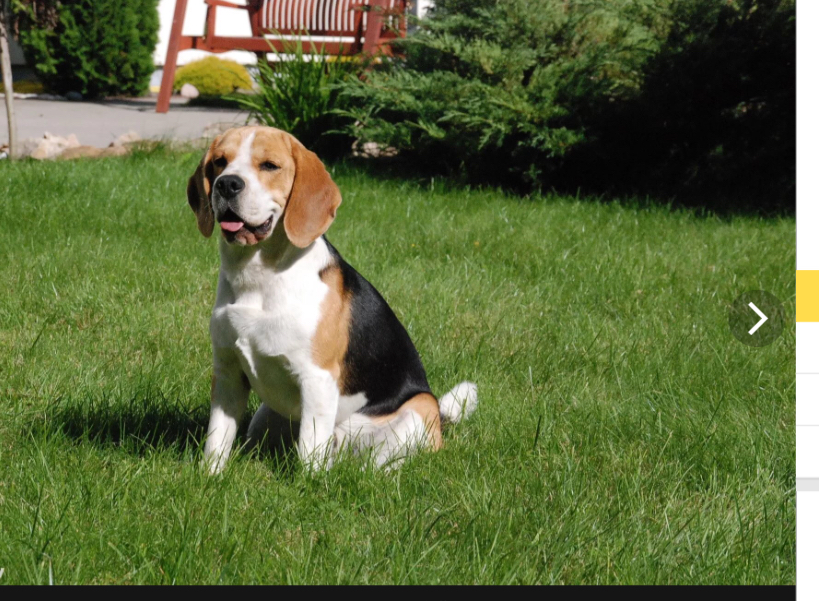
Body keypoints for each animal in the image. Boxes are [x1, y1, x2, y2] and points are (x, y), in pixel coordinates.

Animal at [186, 126, 478, 472]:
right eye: (219, 161)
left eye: (270, 165)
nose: (227, 183)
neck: (259, 275)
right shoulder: (228, 371)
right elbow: (217, 439)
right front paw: (210, 476)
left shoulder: (317, 379)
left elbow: (309, 449)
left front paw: (309, 483)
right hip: (264, 417)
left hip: (416, 411)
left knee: (377, 464)